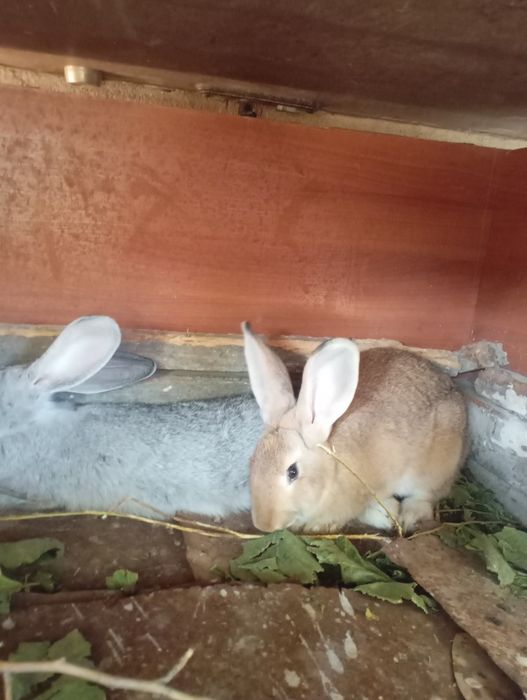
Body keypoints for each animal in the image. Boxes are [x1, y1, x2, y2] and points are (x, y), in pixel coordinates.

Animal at [242, 323, 468, 534]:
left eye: (292, 472)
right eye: (252, 461)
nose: (264, 524)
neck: (332, 471)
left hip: (434, 468)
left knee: (426, 496)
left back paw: (409, 516)